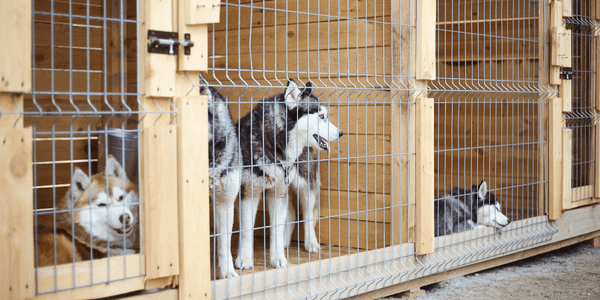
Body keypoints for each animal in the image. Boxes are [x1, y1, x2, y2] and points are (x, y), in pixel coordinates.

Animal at [237, 78, 344, 268]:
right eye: (321, 116)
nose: (341, 133)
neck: (272, 144)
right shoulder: (250, 193)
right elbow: (247, 231)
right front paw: (245, 259)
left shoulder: (278, 192)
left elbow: (277, 228)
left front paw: (277, 257)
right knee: (293, 214)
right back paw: (285, 242)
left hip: (305, 186)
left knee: (308, 215)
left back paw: (311, 243)